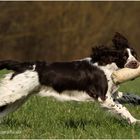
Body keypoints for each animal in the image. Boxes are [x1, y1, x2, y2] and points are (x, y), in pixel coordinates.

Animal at [0, 32, 139, 124]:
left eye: (134, 54)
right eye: (123, 56)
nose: (135, 63)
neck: (107, 65)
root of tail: (24, 65)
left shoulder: (112, 94)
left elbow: (128, 97)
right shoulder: (103, 97)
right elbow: (122, 108)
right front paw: (134, 121)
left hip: (19, 98)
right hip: (13, 93)